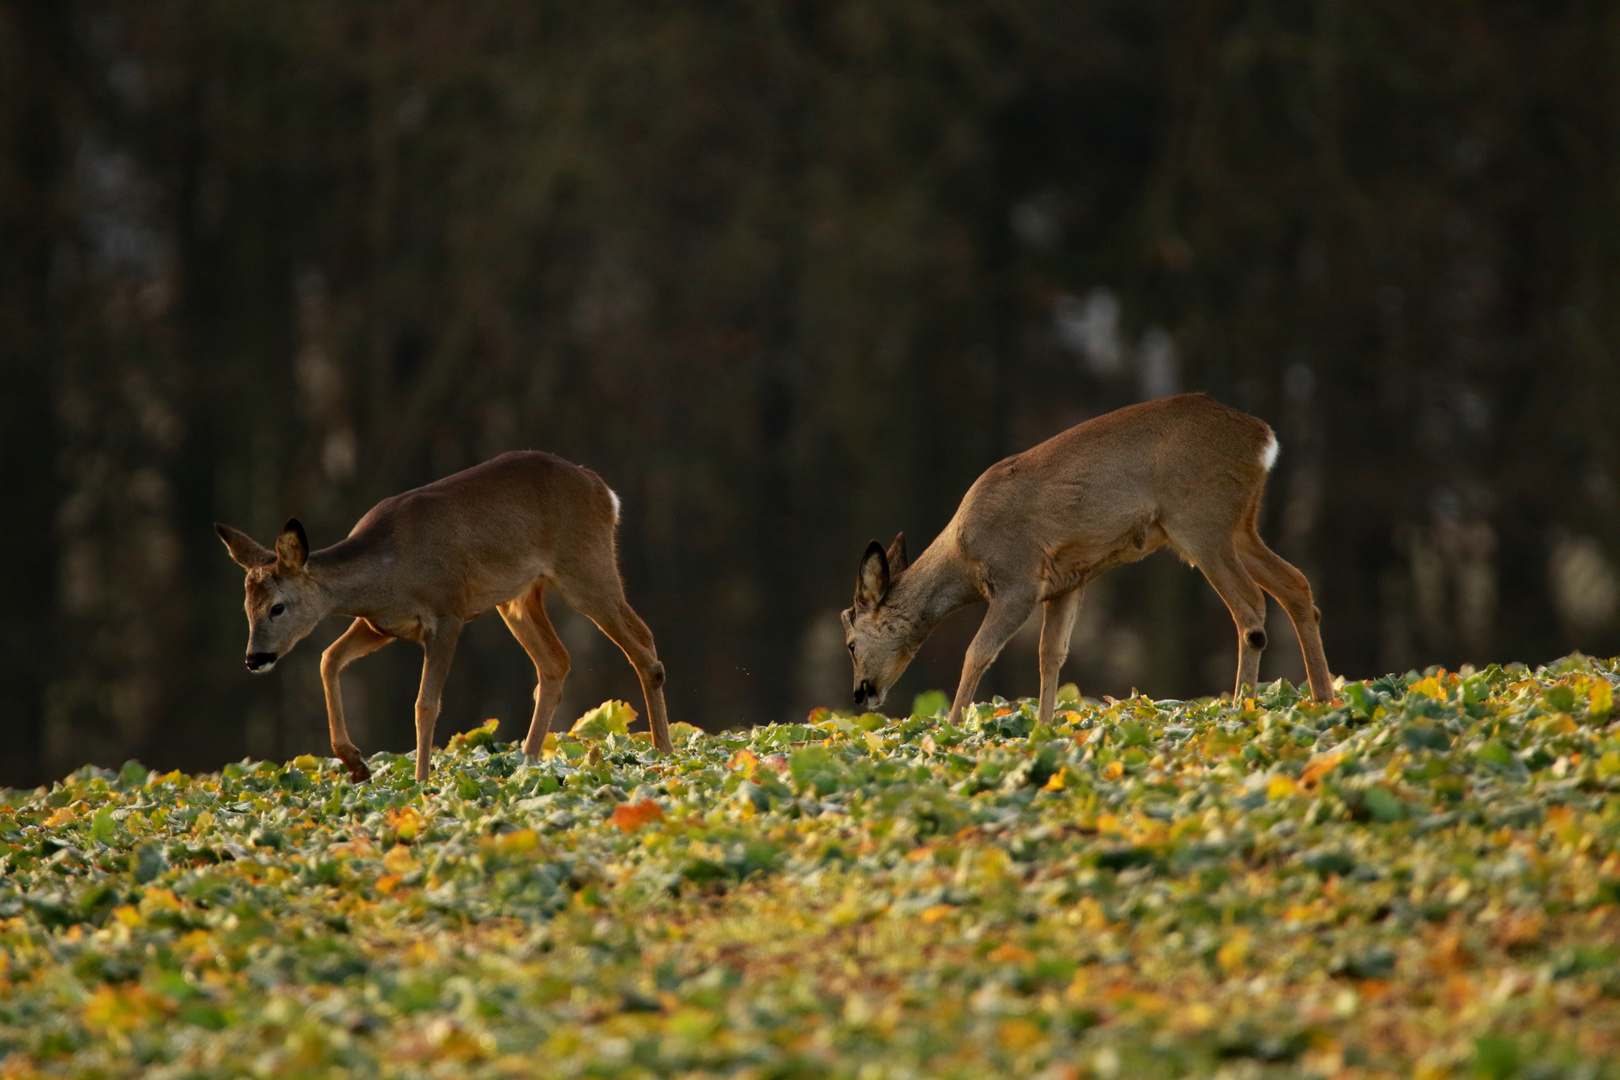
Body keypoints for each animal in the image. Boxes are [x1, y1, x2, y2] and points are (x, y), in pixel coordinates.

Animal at [217, 453, 670, 780]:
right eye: (246, 607)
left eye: (277, 607)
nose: (254, 658)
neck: (389, 566)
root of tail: (605, 492)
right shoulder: (380, 625)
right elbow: (329, 658)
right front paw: (356, 764)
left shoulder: (448, 612)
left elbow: (425, 703)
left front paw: (420, 782)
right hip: (518, 596)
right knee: (556, 662)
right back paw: (526, 762)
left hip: (585, 566)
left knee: (643, 643)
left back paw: (663, 754)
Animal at [842, 393, 1334, 722]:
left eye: (850, 643)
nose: (860, 694)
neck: (964, 561)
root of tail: (1263, 438)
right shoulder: (1067, 583)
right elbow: (1051, 655)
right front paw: (1044, 727)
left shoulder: (1018, 581)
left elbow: (977, 653)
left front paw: (955, 727)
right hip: (1240, 525)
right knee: (1297, 585)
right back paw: (1324, 699)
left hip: (1201, 521)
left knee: (1251, 606)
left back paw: (1239, 709)